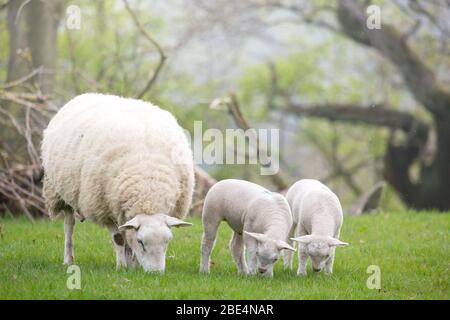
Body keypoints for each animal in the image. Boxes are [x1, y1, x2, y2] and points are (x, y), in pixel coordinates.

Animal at [42, 92, 195, 272]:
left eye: (167, 241)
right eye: (141, 242)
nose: (156, 273)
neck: (148, 194)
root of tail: (87, 94)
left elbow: (127, 237)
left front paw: (133, 266)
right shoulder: (103, 208)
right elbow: (118, 239)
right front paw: (121, 267)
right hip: (60, 193)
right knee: (69, 226)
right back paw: (68, 259)